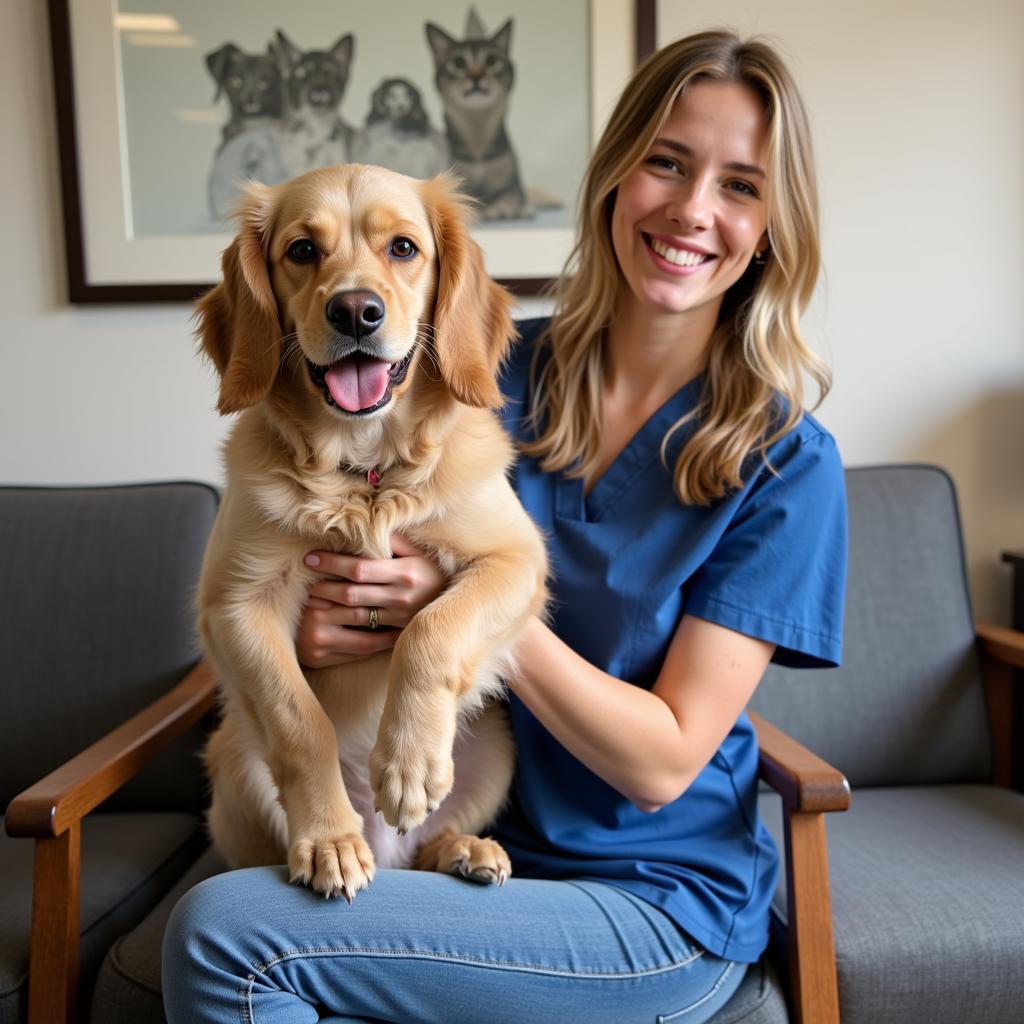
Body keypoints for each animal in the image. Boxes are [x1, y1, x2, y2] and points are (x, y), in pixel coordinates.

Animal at [192, 163, 544, 901]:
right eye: (301, 251)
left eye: (404, 248)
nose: (356, 311)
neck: (367, 473)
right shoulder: (235, 604)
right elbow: (300, 722)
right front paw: (328, 839)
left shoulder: (515, 559)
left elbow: (431, 630)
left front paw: (408, 765)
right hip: (233, 753)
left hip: (496, 744)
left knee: (431, 840)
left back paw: (462, 848)